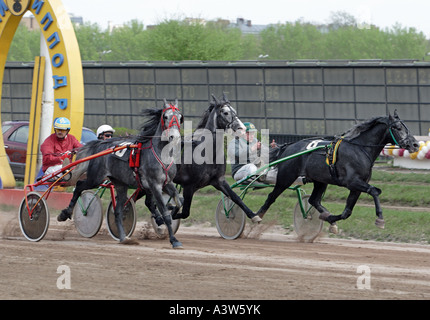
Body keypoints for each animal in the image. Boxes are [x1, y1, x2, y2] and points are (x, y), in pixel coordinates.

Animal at [58, 99, 183, 248]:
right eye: (165, 116)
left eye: (180, 117)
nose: (174, 137)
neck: (159, 154)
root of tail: (100, 145)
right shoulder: (155, 185)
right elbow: (164, 212)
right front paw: (174, 239)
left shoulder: (167, 183)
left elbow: (179, 201)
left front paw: (173, 211)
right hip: (95, 178)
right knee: (79, 185)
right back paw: (65, 213)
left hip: (120, 184)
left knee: (117, 210)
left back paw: (124, 237)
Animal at [171, 93, 262, 222]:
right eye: (225, 112)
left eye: (234, 111)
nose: (242, 128)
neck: (208, 152)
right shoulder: (189, 186)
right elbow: (184, 212)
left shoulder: (218, 181)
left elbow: (236, 197)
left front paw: (254, 216)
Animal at [256, 111, 418, 231]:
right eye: (397, 128)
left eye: (406, 127)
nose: (415, 144)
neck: (359, 149)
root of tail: (288, 147)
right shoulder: (352, 182)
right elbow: (375, 191)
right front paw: (380, 219)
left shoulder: (357, 186)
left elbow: (347, 212)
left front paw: (329, 218)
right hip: (286, 177)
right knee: (271, 197)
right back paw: (256, 217)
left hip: (320, 181)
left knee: (314, 200)